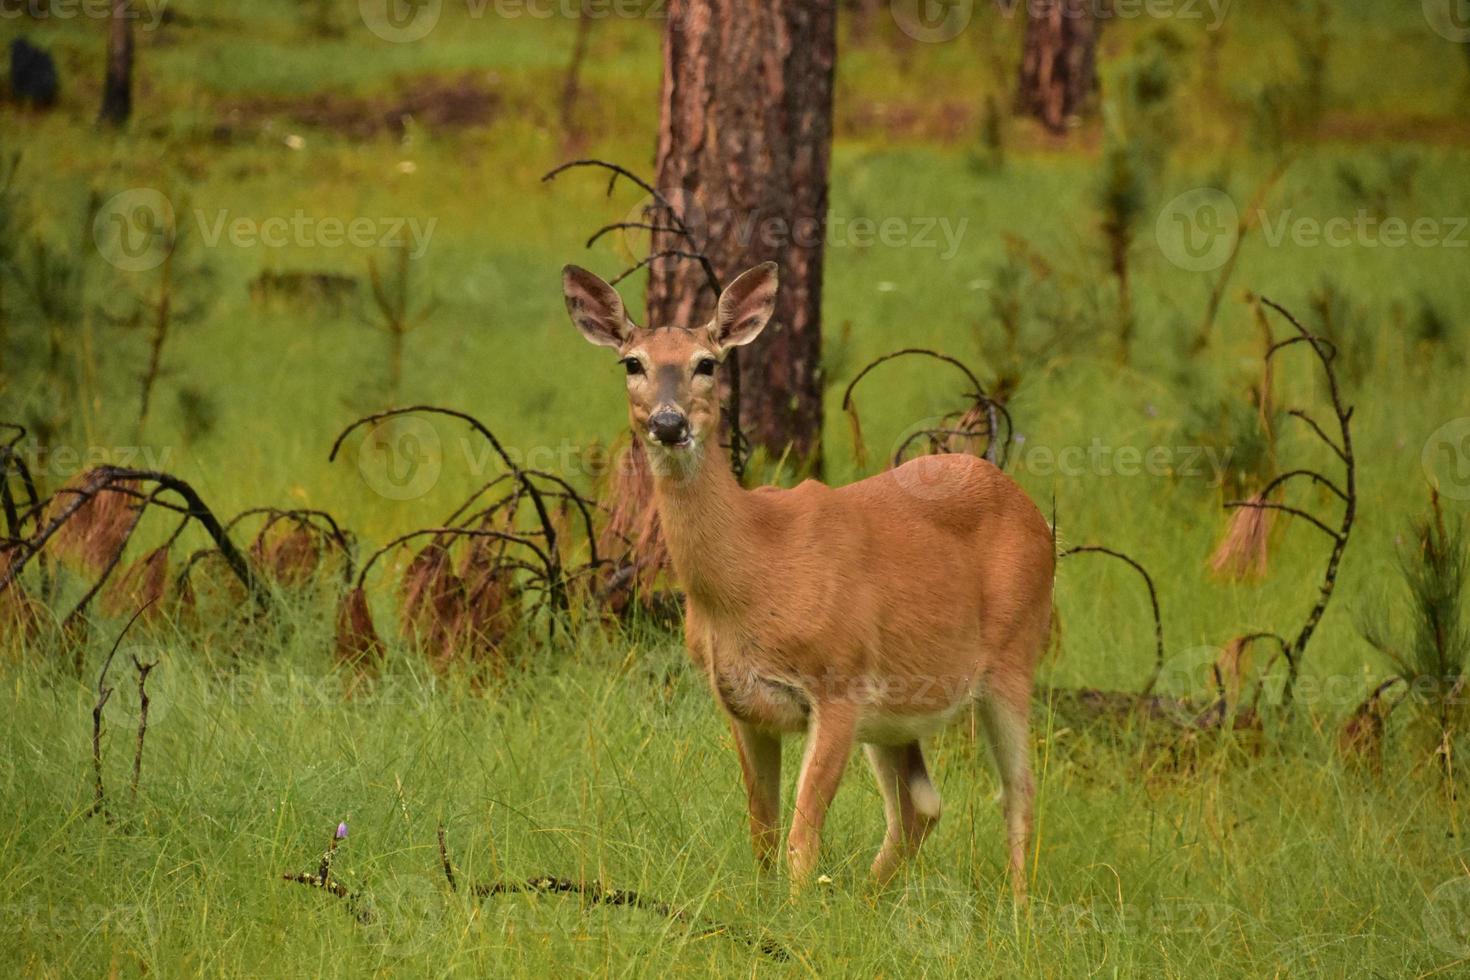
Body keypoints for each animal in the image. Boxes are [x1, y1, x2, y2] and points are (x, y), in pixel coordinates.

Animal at [561, 258, 1058, 899]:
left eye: (707, 363)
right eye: (632, 363)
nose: (669, 424)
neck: (752, 573)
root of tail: (1032, 510)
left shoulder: (838, 681)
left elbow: (802, 834)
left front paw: (796, 914)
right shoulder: (738, 703)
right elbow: (762, 830)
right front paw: (768, 903)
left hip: (1013, 654)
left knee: (1017, 791)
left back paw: (1018, 910)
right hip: (896, 709)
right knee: (920, 806)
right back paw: (869, 900)